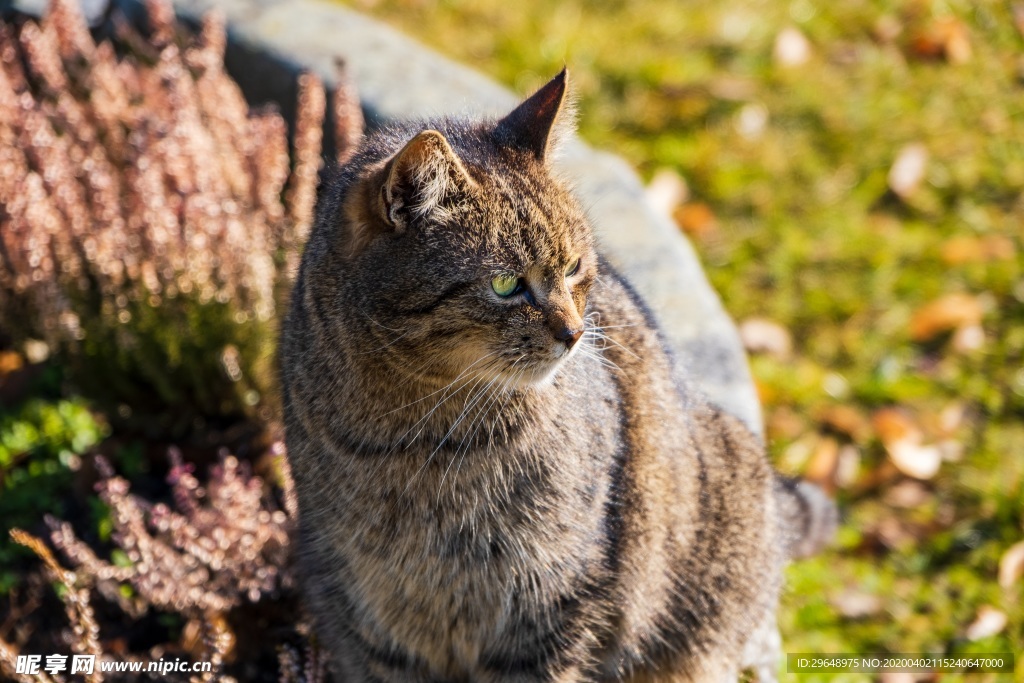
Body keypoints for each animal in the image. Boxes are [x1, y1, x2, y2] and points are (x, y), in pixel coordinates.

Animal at [278, 70, 831, 683]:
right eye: (504, 285)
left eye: (573, 268)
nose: (574, 333)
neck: (416, 436)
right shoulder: (371, 616)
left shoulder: (554, 596)